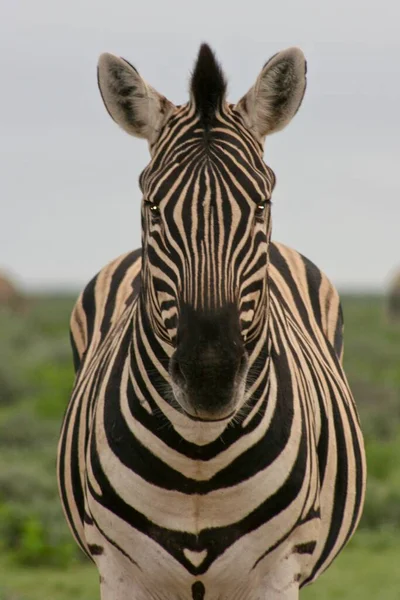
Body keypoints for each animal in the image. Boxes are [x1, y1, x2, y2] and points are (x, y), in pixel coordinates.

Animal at [57, 43, 366, 600]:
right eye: (153, 207)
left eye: (262, 204)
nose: (210, 377)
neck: (198, 456)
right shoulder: (120, 572)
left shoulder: (278, 572)